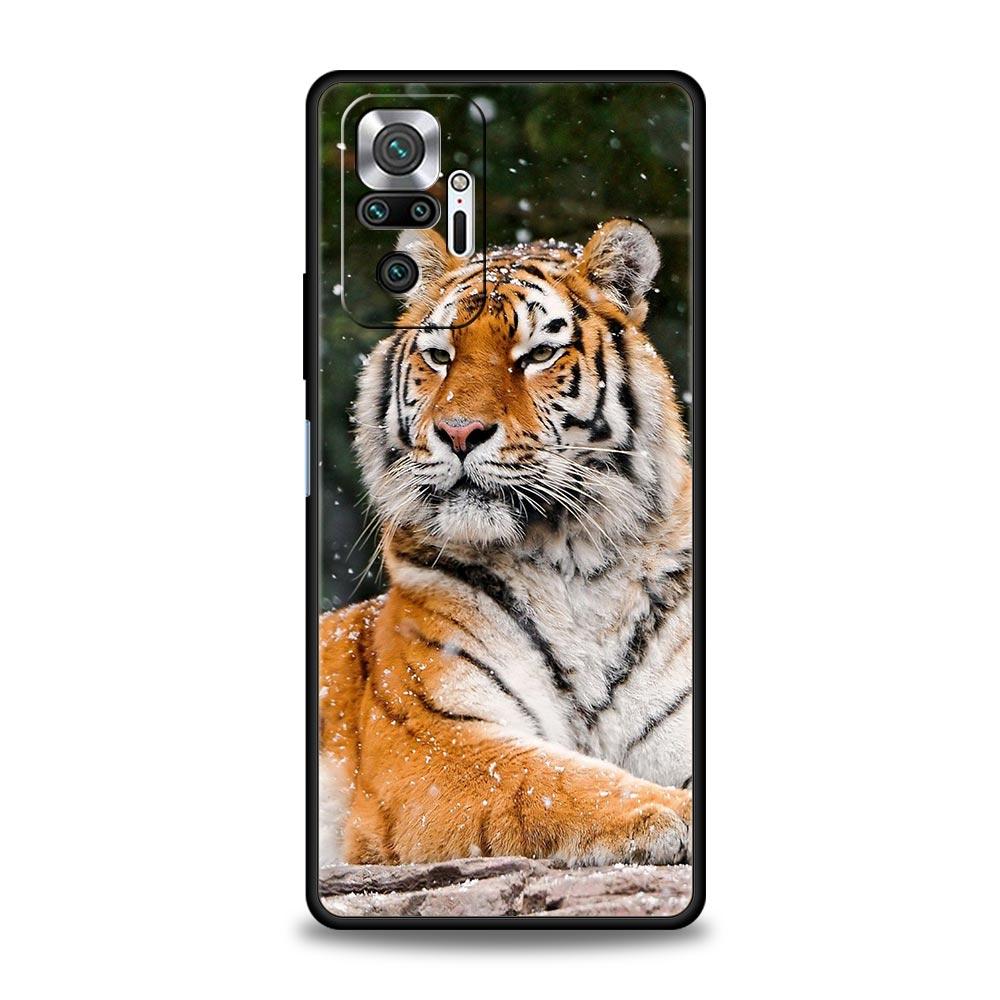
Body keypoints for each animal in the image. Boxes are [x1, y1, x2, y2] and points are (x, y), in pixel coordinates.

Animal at [319, 218, 693, 868]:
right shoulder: (431, 735)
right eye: (439, 356)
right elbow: (550, 781)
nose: (458, 432)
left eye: (538, 353)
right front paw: (675, 812)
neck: (576, 566)